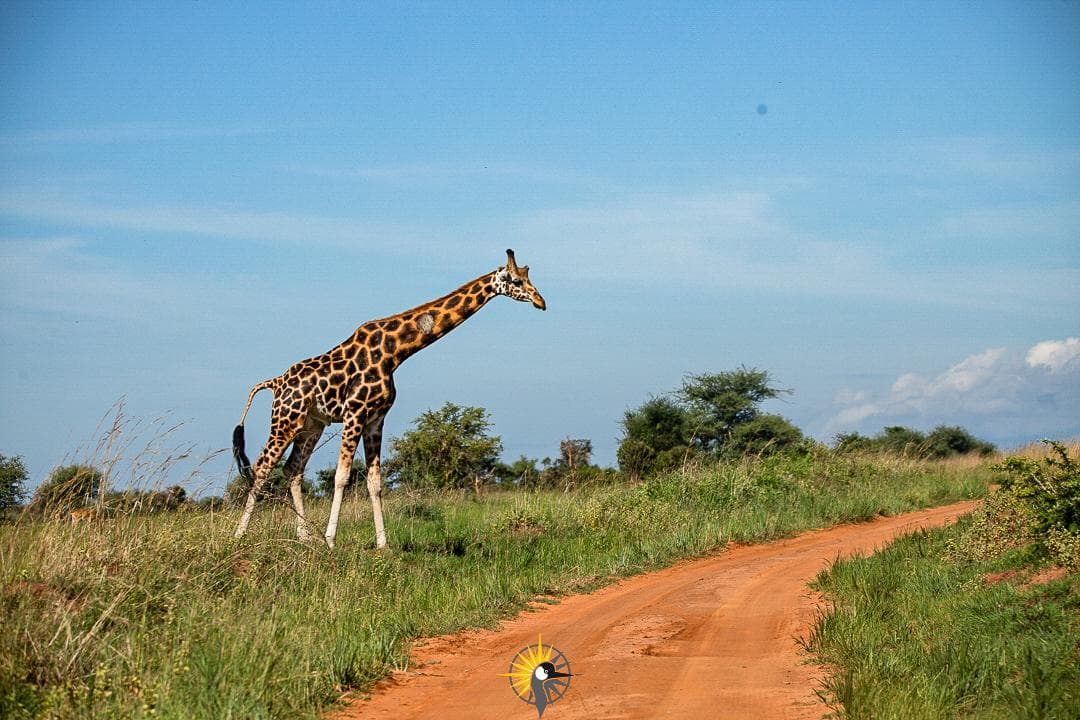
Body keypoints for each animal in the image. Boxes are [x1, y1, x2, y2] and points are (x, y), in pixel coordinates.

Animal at [231, 249, 546, 549]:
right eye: (516, 281)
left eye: (528, 278)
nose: (541, 302)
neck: (394, 353)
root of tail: (275, 383)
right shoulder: (355, 414)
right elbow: (342, 476)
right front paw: (331, 540)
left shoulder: (375, 419)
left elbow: (374, 482)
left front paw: (382, 543)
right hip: (285, 420)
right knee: (262, 467)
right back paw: (239, 534)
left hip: (312, 424)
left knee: (293, 469)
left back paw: (305, 537)